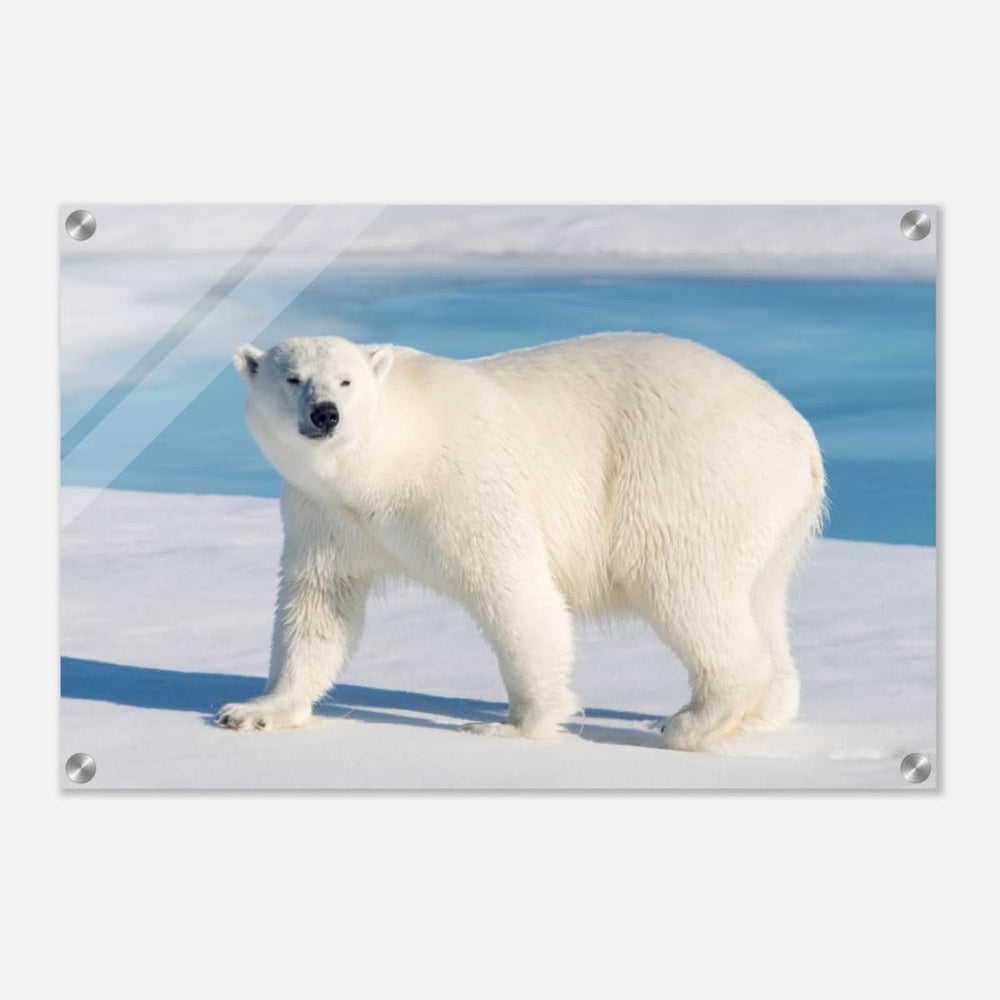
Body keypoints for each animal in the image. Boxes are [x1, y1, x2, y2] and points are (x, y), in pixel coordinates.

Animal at [217, 332, 826, 751]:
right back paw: (764, 709)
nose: (326, 414)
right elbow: (318, 605)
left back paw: (690, 720)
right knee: (760, 597)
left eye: (346, 380)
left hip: (690, 477)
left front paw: (512, 725)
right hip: (769, 513)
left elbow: (514, 590)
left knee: (685, 588)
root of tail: (801, 434)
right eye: (292, 378)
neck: (389, 463)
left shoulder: (464, 483)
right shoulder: (325, 513)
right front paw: (254, 710)